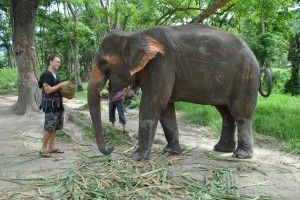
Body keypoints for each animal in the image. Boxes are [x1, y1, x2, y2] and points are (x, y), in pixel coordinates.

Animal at [86, 23, 272, 161]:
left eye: (104, 63)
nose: (111, 148)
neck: (135, 34)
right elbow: (166, 108)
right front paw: (170, 152)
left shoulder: (162, 64)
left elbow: (152, 104)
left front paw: (137, 157)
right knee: (225, 112)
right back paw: (221, 149)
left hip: (245, 77)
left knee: (240, 113)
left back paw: (241, 155)